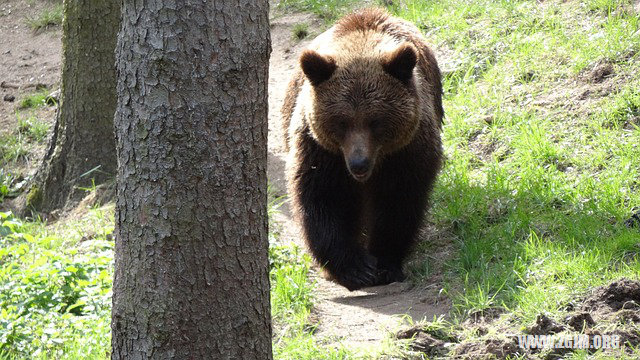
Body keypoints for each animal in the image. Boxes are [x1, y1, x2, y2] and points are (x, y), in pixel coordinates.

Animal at [282, 7, 442, 292]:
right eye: (341, 121)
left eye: (375, 121)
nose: (359, 163)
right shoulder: (322, 152)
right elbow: (323, 200)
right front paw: (356, 268)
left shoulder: (407, 151)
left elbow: (399, 202)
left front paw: (385, 263)